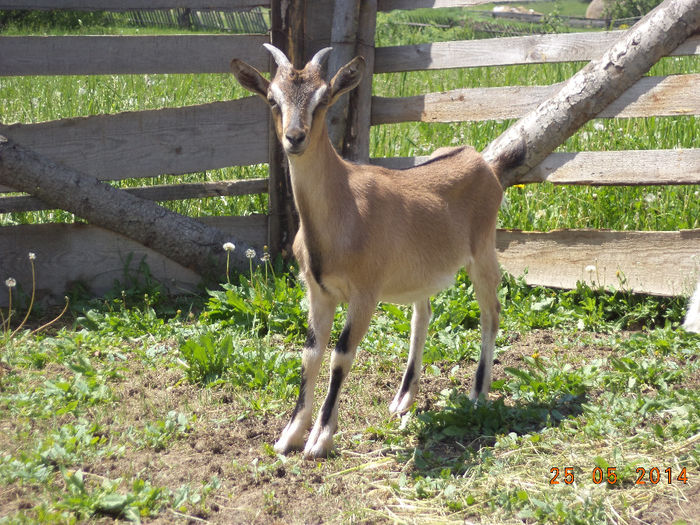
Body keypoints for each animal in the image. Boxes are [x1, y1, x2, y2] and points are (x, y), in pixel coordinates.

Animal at [232, 45, 524, 456]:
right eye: (273, 99)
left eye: (324, 99)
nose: (295, 137)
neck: (344, 209)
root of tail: (484, 162)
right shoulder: (318, 291)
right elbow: (310, 354)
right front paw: (289, 435)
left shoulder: (365, 294)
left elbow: (340, 355)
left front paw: (320, 439)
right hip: (421, 273)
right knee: (423, 314)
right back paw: (403, 399)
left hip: (483, 251)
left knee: (491, 312)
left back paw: (477, 394)